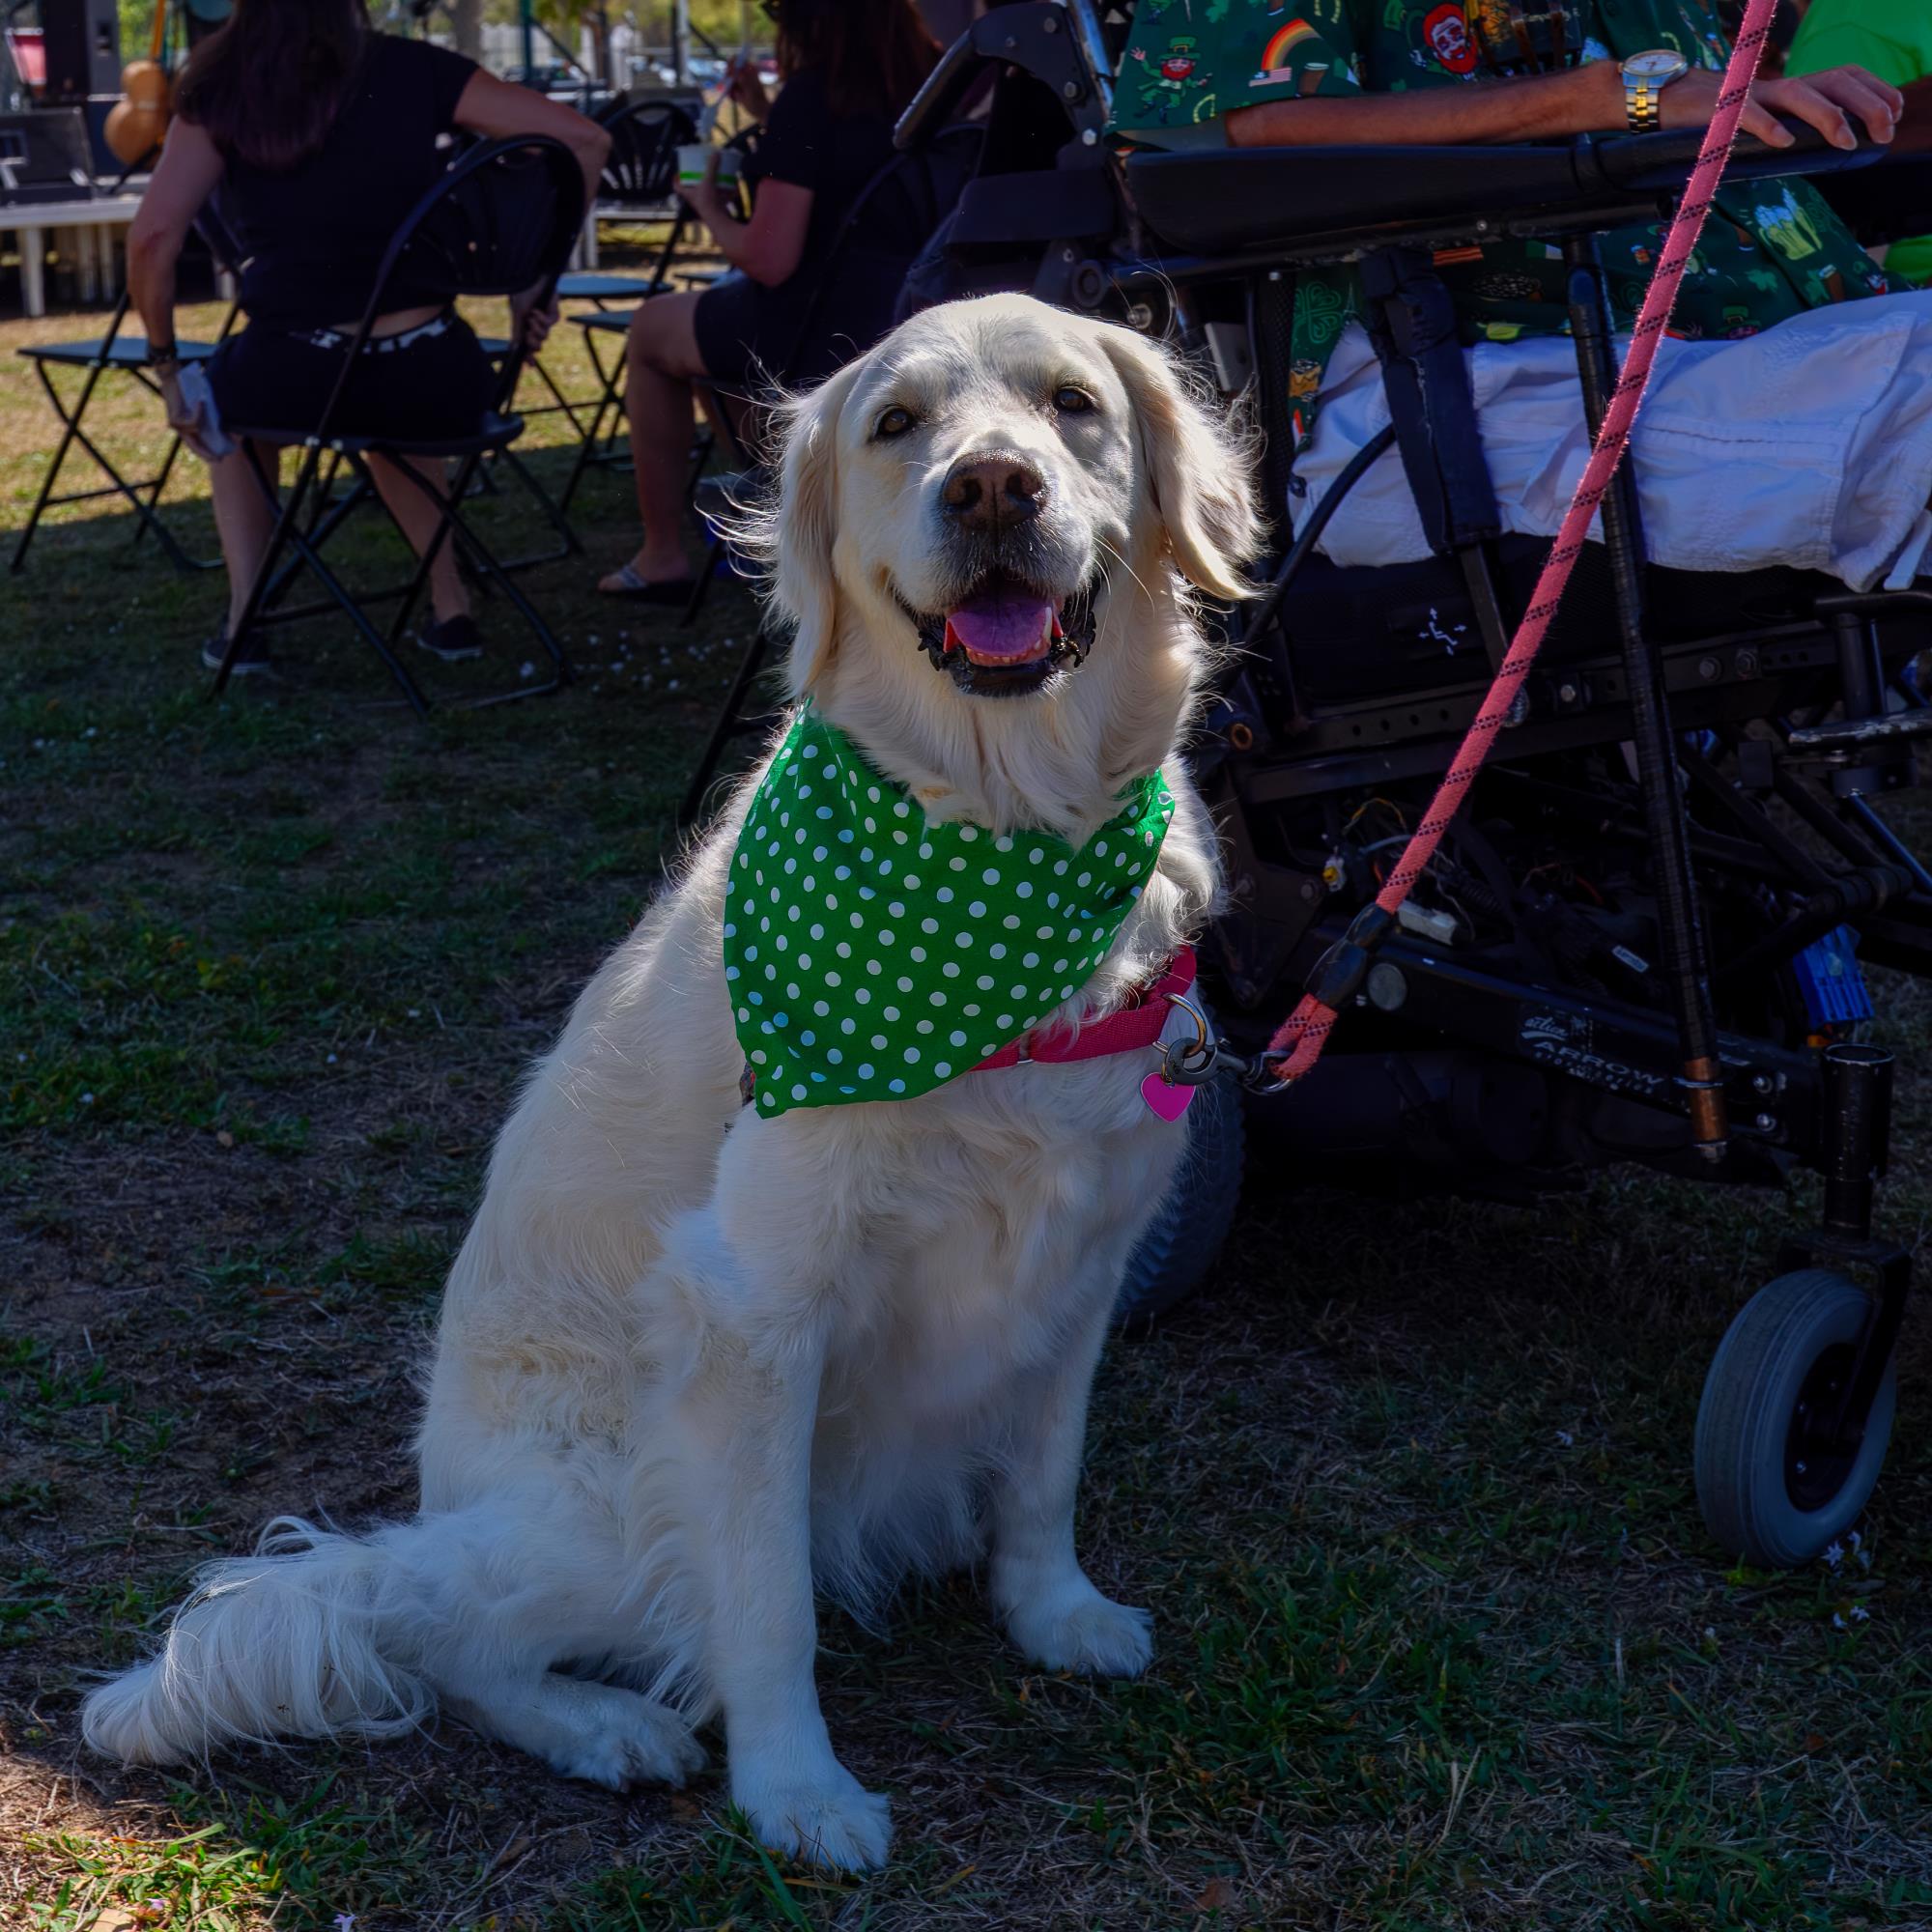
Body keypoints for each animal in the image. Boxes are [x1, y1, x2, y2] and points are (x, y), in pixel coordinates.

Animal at [82, 293, 1260, 1871]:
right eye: (896, 424)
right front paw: (798, 1792)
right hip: (604, 1502)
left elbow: (1045, 1470)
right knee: (435, 1630)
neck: (998, 848)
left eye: (1073, 404)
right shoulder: (752, 1306)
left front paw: (1054, 1612)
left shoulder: (1084, 1257)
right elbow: (766, 1607)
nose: (993, 489)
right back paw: (602, 1725)